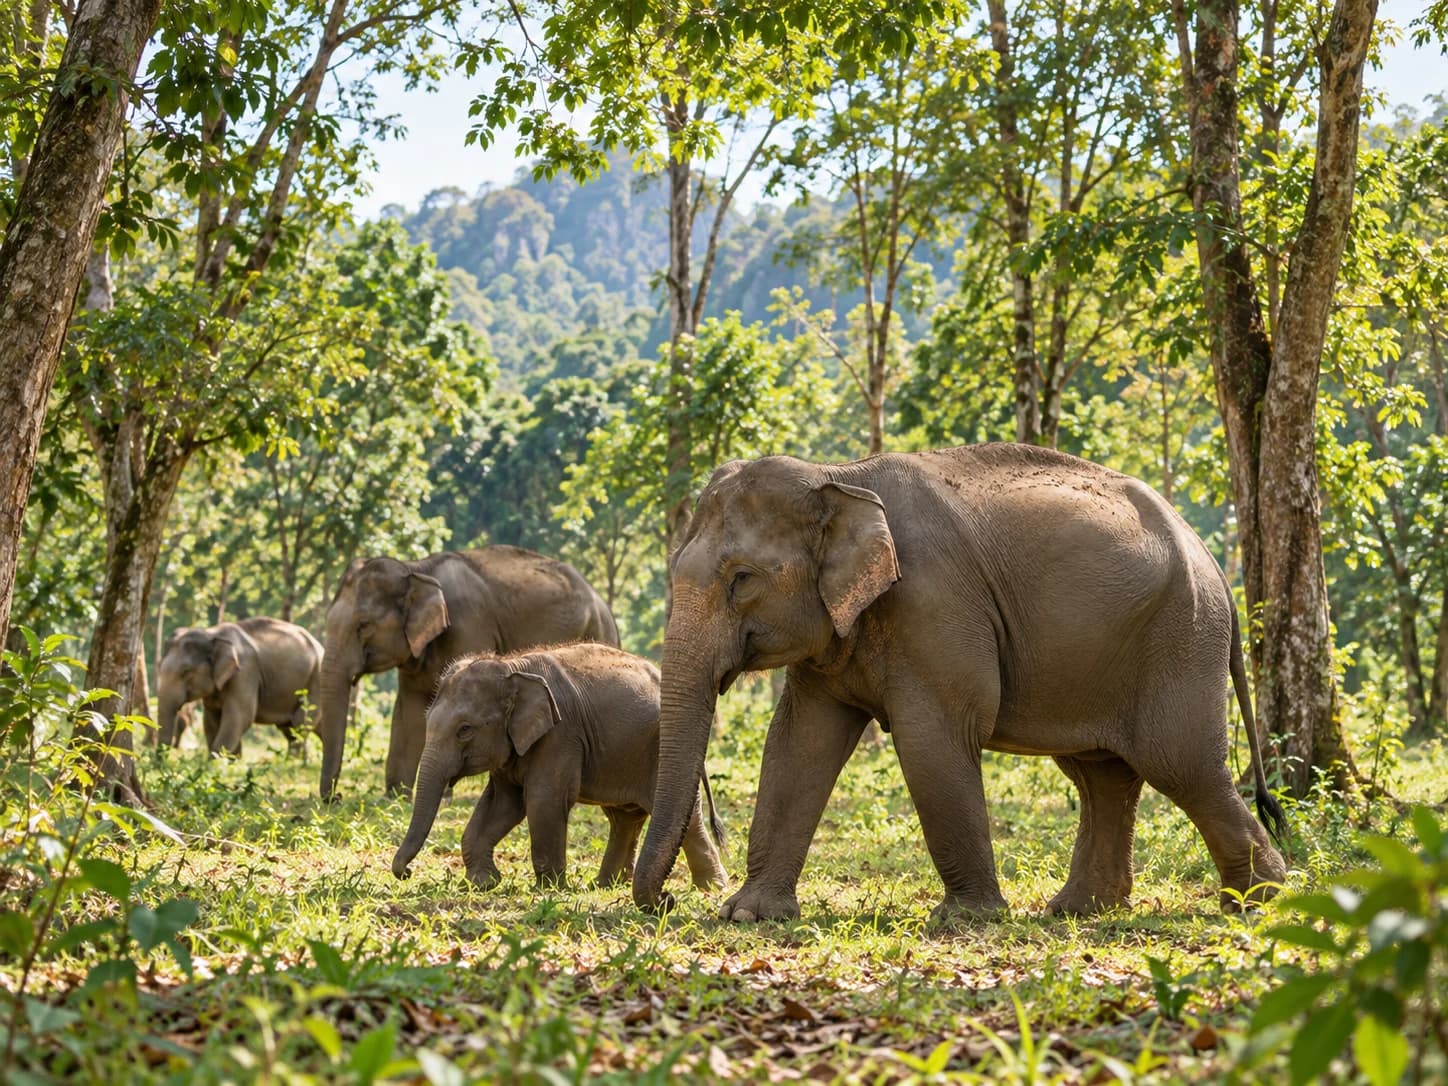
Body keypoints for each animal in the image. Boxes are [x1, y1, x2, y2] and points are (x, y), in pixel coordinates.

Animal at [156, 617, 323, 756]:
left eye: (186, 671)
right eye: (160, 667)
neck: (212, 634)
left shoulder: (245, 673)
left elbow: (240, 716)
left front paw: (214, 766)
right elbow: (211, 720)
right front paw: (231, 762)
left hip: (315, 681)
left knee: (300, 725)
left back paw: (294, 762)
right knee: (293, 728)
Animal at [318, 545, 619, 800]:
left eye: (363, 625)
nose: (335, 797)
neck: (417, 568)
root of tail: (604, 605)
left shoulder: (469, 628)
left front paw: (442, 798)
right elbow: (408, 710)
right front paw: (396, 799)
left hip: (597, 631)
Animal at [391, 643, 729, 892]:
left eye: (464, 730)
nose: (406, 872)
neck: (511, 666)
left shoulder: (560, 735)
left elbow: (542, 800)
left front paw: (549, 889)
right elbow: (502, 804)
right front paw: (484, 882)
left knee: (685, 817)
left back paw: (712, 888)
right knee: (624, 817)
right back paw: (605, 886)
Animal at [631, 443, 1288, 924]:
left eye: (742, 578)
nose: (666, 900)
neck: (836, 475)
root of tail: (1214, 564)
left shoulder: (935, 605)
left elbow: (933, 740)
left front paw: (968, 920)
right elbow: (798, 742)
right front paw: (749, 915)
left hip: (1180, 636)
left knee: (1180, 764)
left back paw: (1259, 902)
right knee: (1102, 773)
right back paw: (1078, 911)